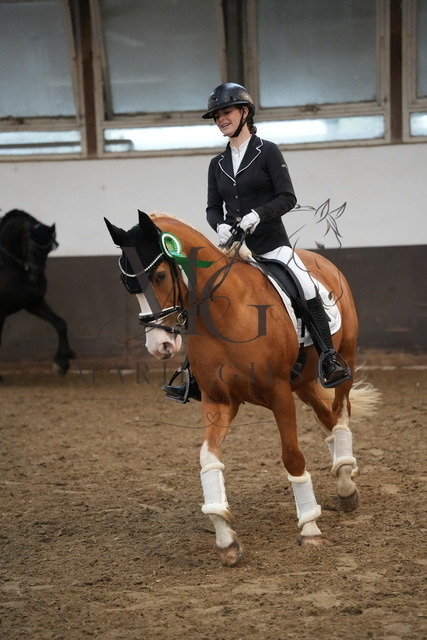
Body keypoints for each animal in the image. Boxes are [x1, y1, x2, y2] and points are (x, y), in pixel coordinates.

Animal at [0, 209, 75, 382]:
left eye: (48, 251)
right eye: (32, 248)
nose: (36, 278)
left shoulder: (33, 303)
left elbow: (60, 323)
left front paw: (62, 363)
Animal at [105, 210, 379, 566]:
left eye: (162, 275)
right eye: (127, 285)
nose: (159, 346)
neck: (224, 312)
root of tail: (320, 260)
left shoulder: (278, 393)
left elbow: (292, 457)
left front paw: (310, 529)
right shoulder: (219, 400)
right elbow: (208, 460)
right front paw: (225, 538)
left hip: (344, 358)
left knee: (341, 411)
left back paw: (346, 484)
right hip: (303, 383)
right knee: (328, 418)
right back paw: (345, 473)